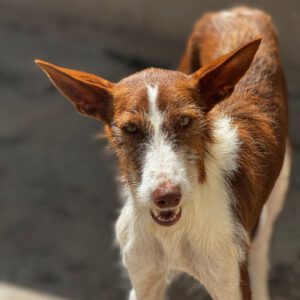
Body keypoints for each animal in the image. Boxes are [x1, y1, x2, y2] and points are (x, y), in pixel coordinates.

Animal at [35, 5, 290, 300]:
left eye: (185, 122)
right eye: (131, 128)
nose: (166, 196)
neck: (174, 231)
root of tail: (238, 10)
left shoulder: (230, 282)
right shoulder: (144, 279)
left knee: (262, 245)